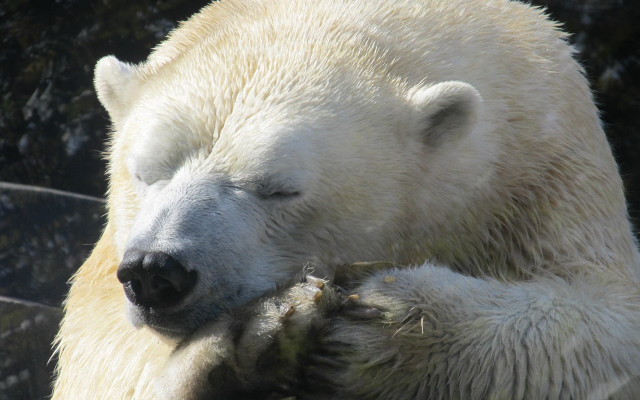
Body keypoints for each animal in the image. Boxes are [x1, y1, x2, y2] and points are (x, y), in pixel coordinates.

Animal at [53, 0, 640, 398]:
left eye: (280, 188)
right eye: (146, 171)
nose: (157, 271)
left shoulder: (548, 169)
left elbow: (606, 319)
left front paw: (385, 326)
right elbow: (95, 359)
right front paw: (246, 339)